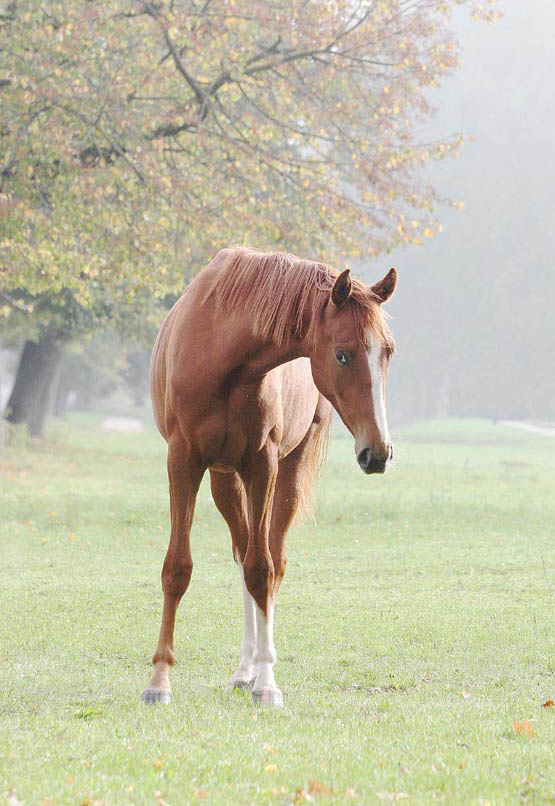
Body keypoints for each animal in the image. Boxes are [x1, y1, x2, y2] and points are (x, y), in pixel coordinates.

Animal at [141, 247, 397, 707]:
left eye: (388, 352)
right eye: (343, 354)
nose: (379, 452)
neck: (225, 356)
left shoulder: (263, 465)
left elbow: (261, 571)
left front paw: (267, 683)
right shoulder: (182, 461)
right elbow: (178, 568)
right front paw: (159, 680)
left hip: (286, 473)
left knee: (270, 562)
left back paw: (257, 670)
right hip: (225, 481)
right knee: (242, 552)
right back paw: (244, 671)